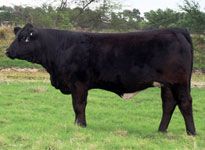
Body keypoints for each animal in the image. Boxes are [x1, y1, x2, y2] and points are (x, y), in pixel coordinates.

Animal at [5, 23, 196, 135]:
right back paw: (161, 131)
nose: (7, 51)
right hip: (167, 84)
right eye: (17, 36)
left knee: (185, 102)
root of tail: (177, 30)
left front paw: (80, 125)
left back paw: (191, 133)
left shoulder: (78, 83)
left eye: (24, 38)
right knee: (169, 104)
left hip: (179, 81)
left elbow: (78, 105)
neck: (60, 48)